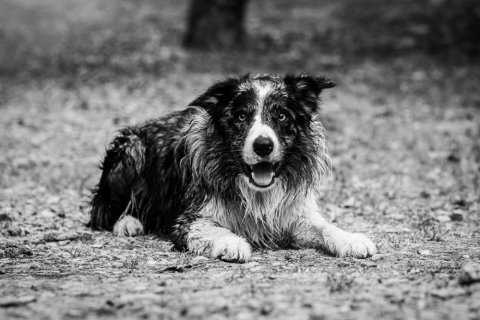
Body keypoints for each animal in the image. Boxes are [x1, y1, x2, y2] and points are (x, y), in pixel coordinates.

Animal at [88, 74, 376, 262]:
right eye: (241, 116)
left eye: (282, 115)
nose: (263, 145)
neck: (257, 191)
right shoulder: (187, 219)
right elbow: (212, 228)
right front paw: (231, 242)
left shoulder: (294, 216)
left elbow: (325, 227)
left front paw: (351, 239)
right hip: (131, 150)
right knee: (102, 212)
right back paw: (128, 223)